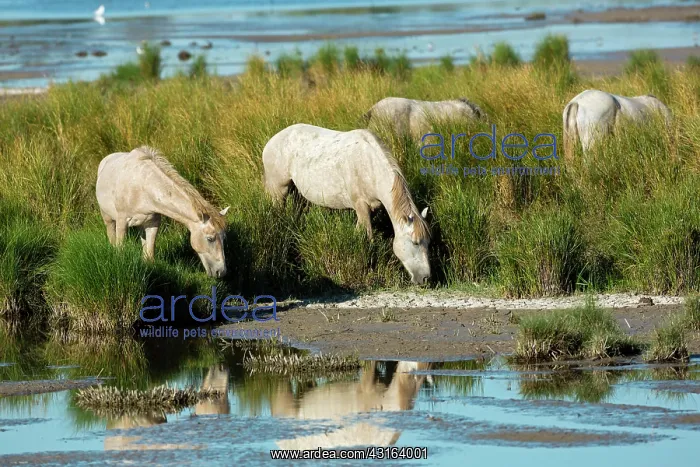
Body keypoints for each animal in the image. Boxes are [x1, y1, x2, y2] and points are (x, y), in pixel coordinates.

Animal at [96, 146, 230, 278]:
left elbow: (149, 255)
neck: (143, 188)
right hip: (108, 218)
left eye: (224, 237)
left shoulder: (152, 224)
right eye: (210, 238)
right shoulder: (122, 223)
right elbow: (120, 249)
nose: (221, 272)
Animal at [262, 123, 431, 285]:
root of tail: (270, 143)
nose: (425, 278)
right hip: (279, 192)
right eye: (415, 243)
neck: (370, 164)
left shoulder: (371, 208)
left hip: (297, 193)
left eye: (428, 243)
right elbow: (367, 237)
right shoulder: (361, 206)